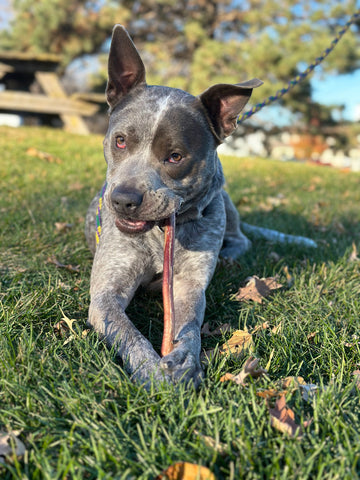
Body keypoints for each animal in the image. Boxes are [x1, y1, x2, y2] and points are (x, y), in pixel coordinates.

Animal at [85, 24, 316, 388]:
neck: (161, 232)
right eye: (120, 141)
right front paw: (152, 370)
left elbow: (190, 326)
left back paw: (229, 256)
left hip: (223, 202)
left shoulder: (190, 286)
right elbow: (127, 332)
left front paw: (184, 359)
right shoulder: (106, 295)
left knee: (242, 238)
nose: (123, 200)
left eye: (175, 156)